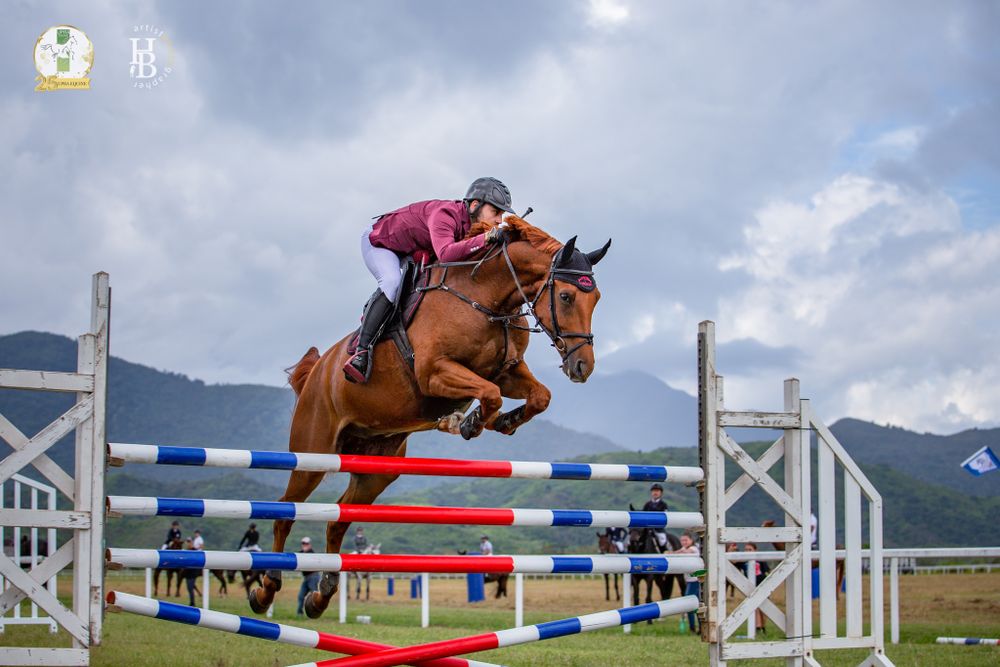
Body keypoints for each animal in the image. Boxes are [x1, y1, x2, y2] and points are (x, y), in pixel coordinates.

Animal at [249, 217, 611, 619]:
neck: (487, 297)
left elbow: (538, 396)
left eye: (595, 298)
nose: (583, 367)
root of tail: (316, 373)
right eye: (565, 297)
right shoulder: (434, 372)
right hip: (312, 454)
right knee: (285, 510)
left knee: (339, 520)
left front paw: (499, 422)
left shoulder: (507, 371)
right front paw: (467, 422)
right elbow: (489, 393)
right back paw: (266, 589)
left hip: (377, 469)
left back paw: (320, 596)